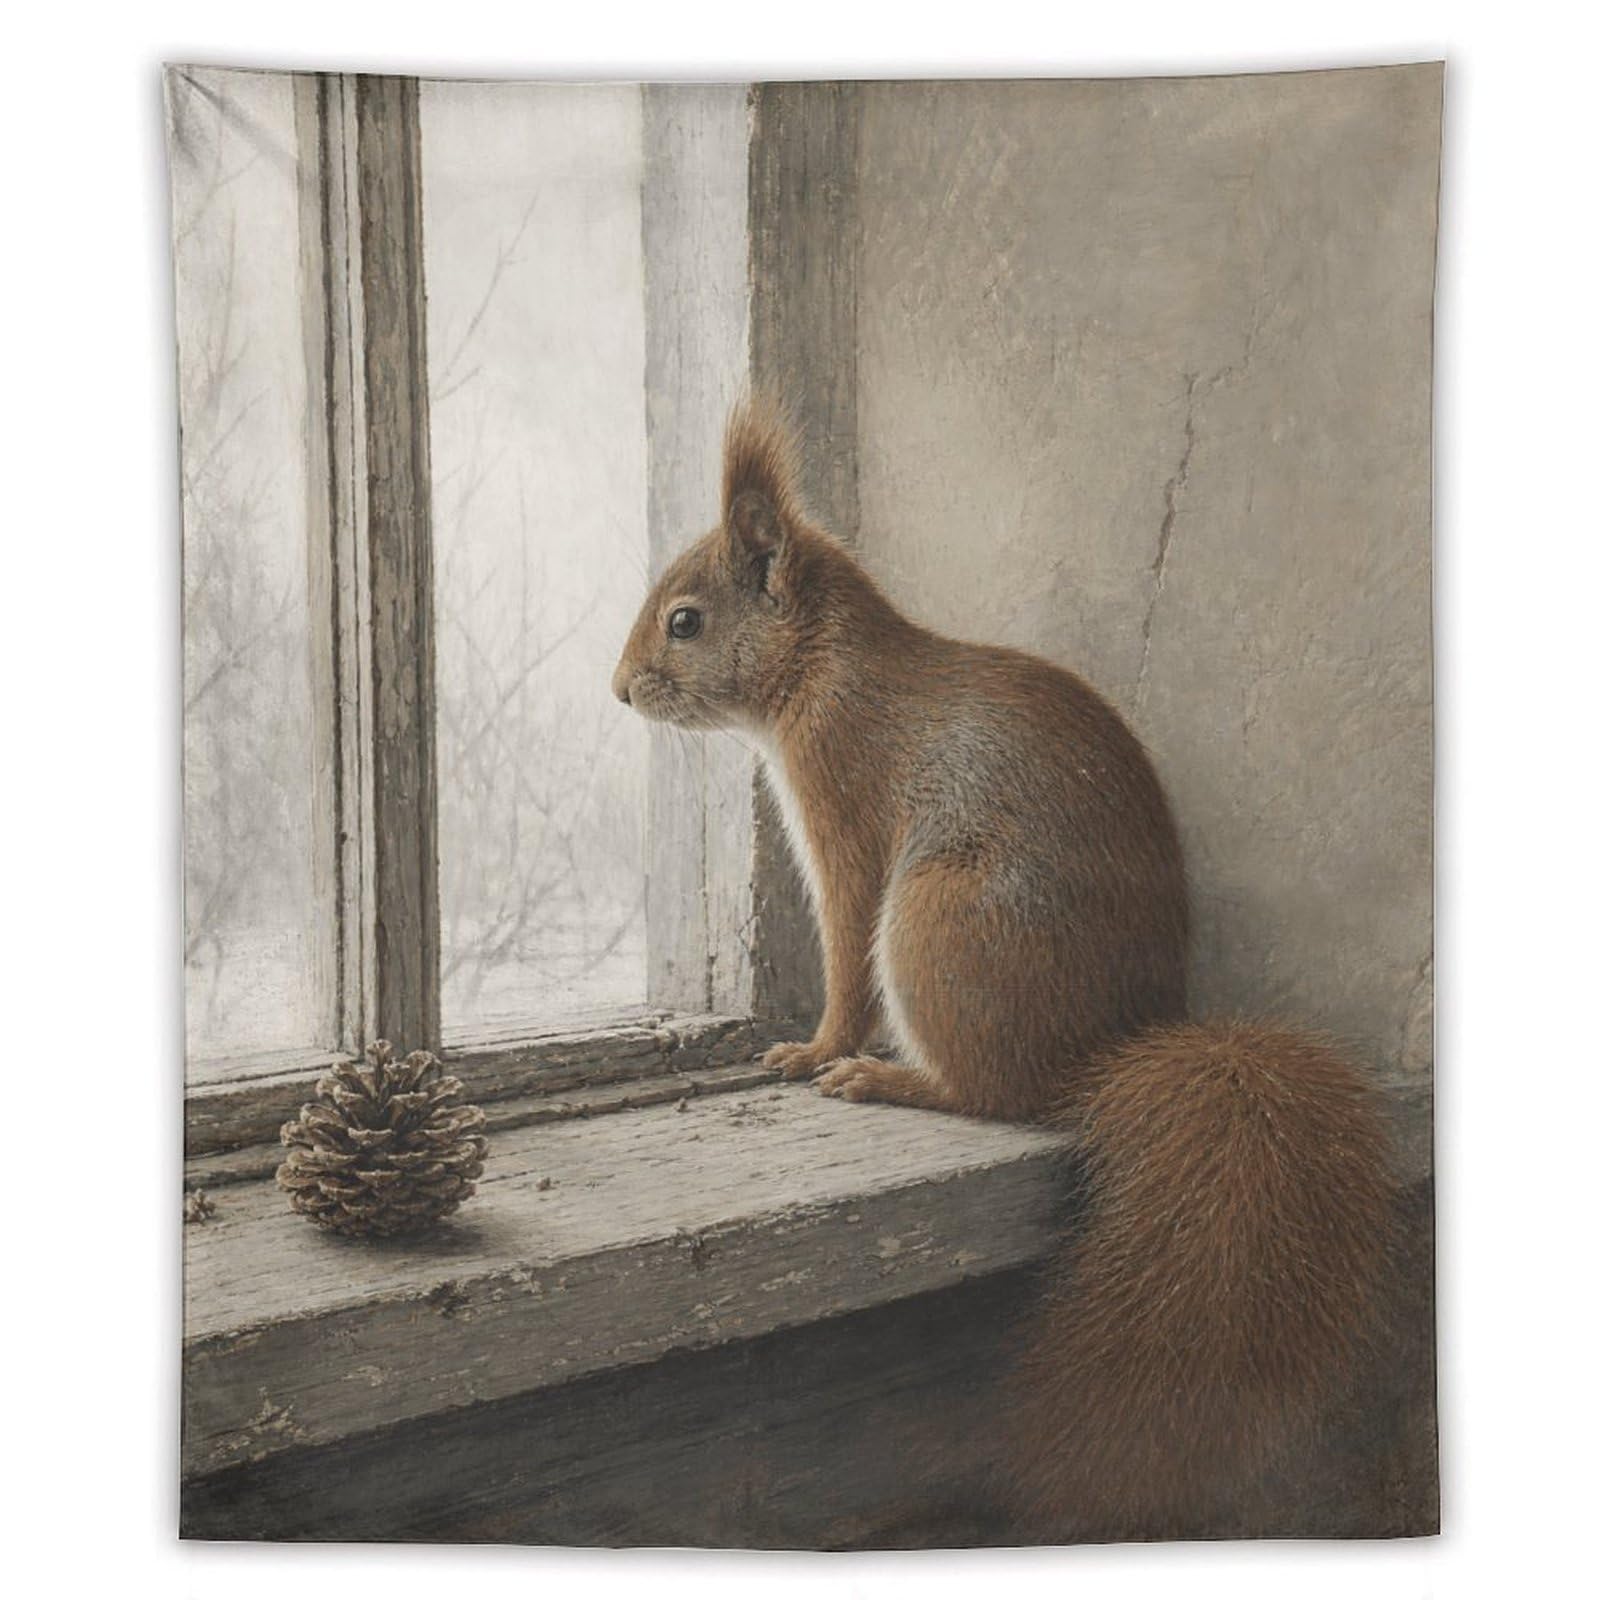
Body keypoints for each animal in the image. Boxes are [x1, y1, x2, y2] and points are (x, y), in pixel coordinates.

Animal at [611, 397, 1399, 1539]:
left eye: (685, 621)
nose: (620, 690)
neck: (823, 665)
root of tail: (1106, 1053)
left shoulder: (844, 807)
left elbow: (843, 949)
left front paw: (815, 1047)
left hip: (938, 925)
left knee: (996, 1096)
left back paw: (890, 1077)